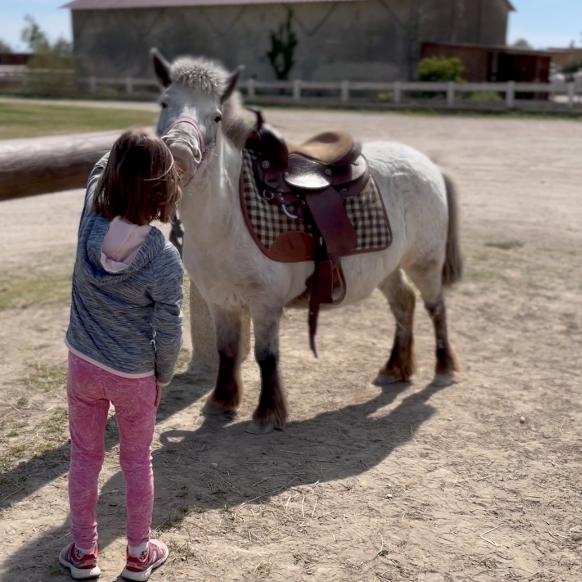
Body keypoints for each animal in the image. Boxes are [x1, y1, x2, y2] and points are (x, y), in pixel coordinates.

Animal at [152, 49, 466, 434]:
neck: (227, 217)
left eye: (216, 116)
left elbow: (265, 355)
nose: (179, 154)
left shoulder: (265, 303)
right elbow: (228, 351)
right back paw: (395, 369)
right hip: (386, 266)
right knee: (404, 303)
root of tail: (427, 163)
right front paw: (220, 403)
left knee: (436, 308)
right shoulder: (220, 301)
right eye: (165, 102)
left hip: (425, 262)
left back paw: (443, 369)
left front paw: (267, 414)